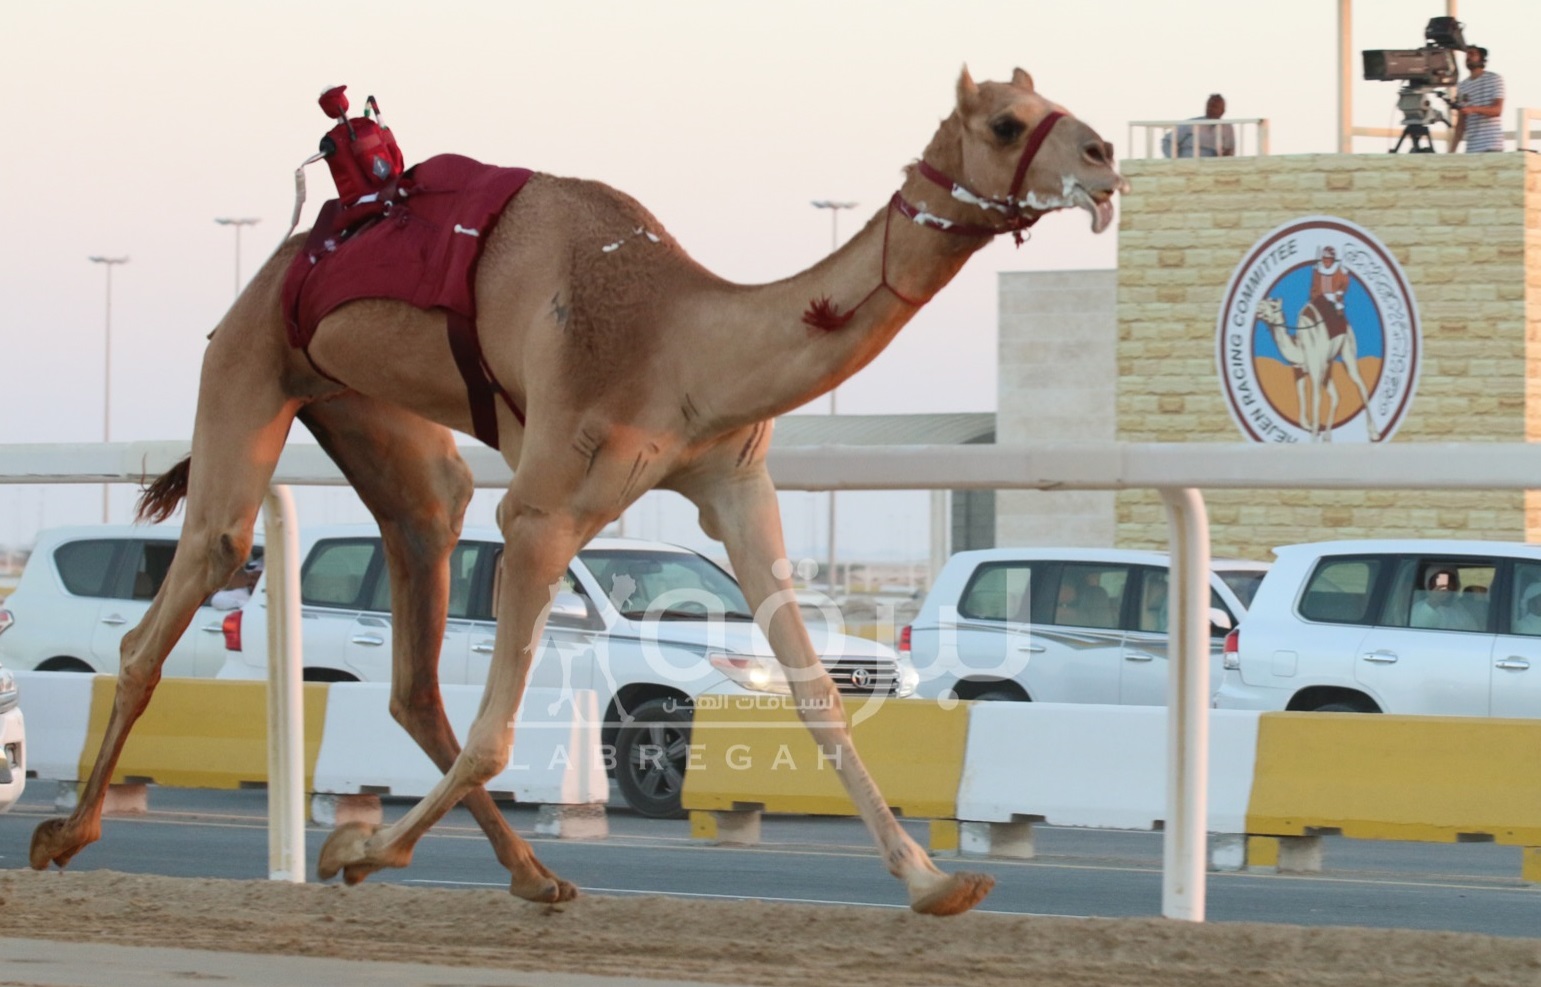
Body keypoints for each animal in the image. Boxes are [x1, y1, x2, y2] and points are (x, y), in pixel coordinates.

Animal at [30, 67, 1128, 919]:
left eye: (1057, 103)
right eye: (1005, 123)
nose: (1107, 152)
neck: (678, 341)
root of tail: (293, 249)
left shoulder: (735, 486)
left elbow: (816, 694)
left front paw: (935, 882)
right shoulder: (545, 506)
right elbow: (496, 733)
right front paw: (358, 851)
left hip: (367, 416)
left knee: (418, 617)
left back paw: (533, 875)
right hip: (251, 362)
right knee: (183, 589)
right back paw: (64, 834)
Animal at [1251, 294, 1386, 441]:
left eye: (1273, 305)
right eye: (1263, 302)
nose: (1258, 309)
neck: (1300, 348)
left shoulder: (1315, 373)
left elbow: (1315, 411)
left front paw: (1313, 436)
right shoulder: (1298, 371)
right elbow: (1302, 402)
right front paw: (1308, 426)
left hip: (1348, 349)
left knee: (1360, 385)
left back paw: (1374, 433)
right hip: (1328, 364)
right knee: (1336, 396)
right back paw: (1327, 437)